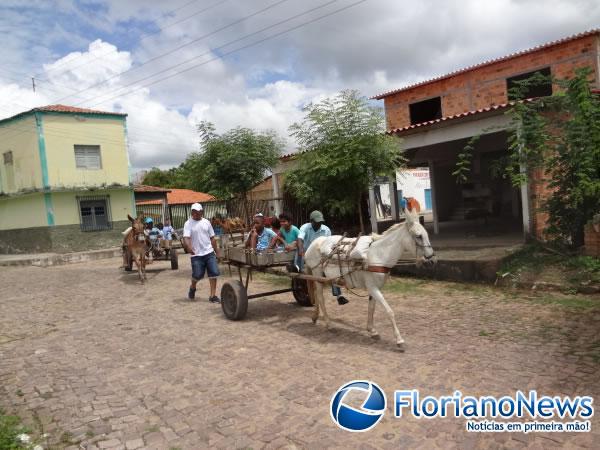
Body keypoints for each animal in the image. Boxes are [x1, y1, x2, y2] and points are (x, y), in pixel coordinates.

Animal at [304, 209, 436, 350]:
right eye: (418, 236)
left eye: (426, 234)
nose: (432, 259)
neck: (378, 256)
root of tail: (314, 243)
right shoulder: (373, 288)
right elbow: (389, 311)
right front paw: (399, 339)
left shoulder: (374, 288)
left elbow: (371, 308)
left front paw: (372, 331)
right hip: (318, 275)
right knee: (320, 297)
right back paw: (328, 324)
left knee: (316, 296)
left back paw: (315, 316)